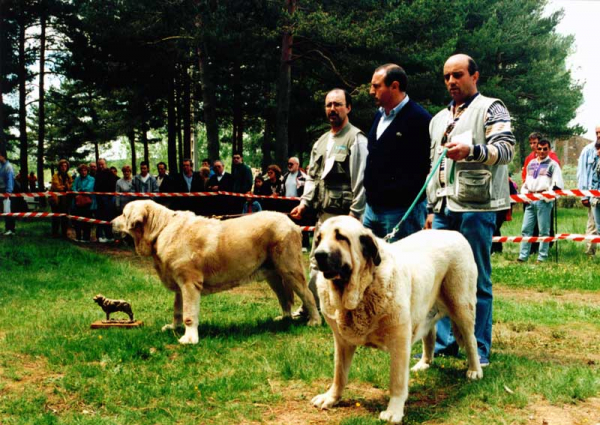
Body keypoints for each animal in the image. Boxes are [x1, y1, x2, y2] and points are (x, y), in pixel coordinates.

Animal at [110, 200, 322, 342]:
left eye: (123, 214)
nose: (111, 223)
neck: (160, 229)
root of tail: (292, 223)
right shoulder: (180, 286)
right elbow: (177, 310)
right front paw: (174, 327)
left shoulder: (189, 283)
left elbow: (188, 313)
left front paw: (189, 338)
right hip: (274, 276)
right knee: (284, 298)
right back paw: (284, 319)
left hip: (290, 270)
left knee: (308, 295)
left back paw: (315, 321)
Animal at [310, 217, 482, 422]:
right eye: (319, 239)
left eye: (341, 237)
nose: (319, 254)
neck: (363, 289)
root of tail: (453, 233)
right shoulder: (342, 342)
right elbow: (339, 373)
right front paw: (331, 397)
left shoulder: (399, 341)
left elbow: (397, 381)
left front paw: (394, 411)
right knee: (430, 335)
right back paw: (424, 363)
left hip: (461, 305)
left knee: (471, 341)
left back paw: (475, 370)